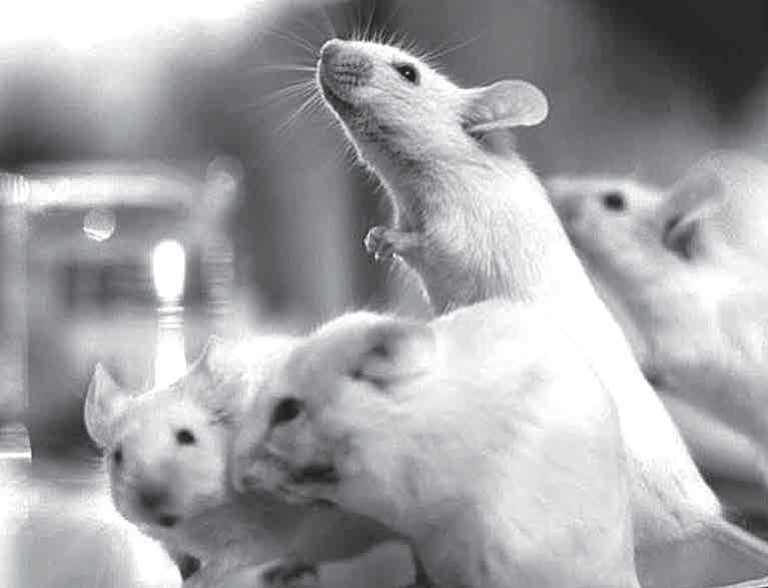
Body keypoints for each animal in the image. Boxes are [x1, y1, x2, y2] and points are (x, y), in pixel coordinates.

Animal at [84, 335, 409, 587]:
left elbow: (230, 559)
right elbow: (182, 559)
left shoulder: (261, 530)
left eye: (187, 437)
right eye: (117, 455)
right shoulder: (168, 540)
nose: (150, 501)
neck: (195, 521)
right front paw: (187, 572)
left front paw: (197, 581)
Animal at [312, 37, 734, 584]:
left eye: (407, 72)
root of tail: (704, 517)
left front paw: (387, 240)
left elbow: (434, 245)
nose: (328, 47)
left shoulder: (461, 225)